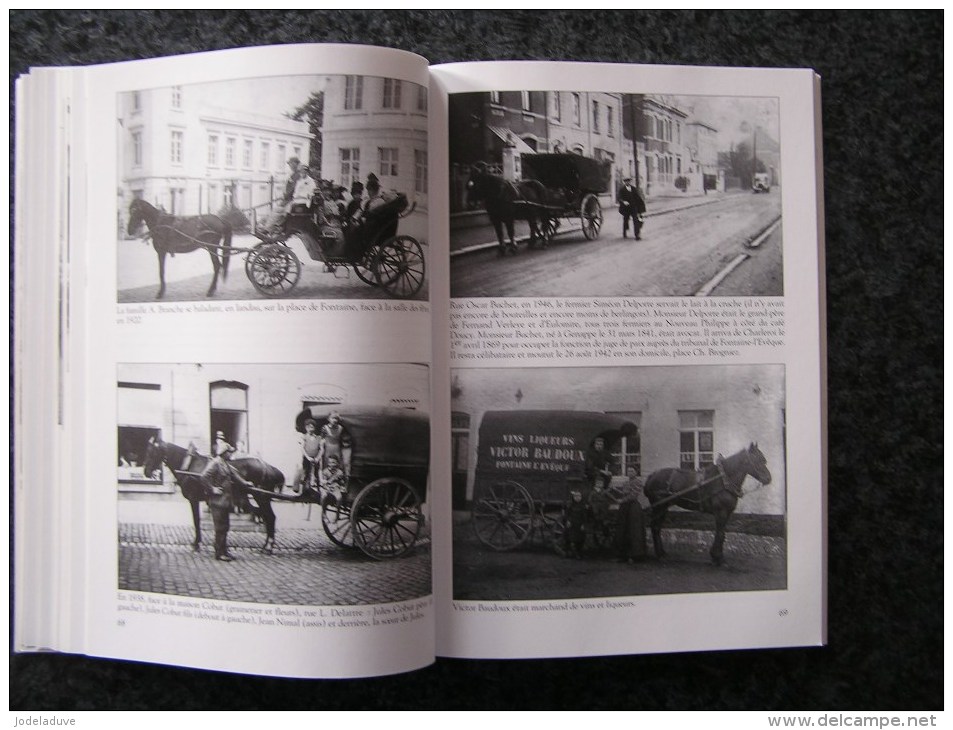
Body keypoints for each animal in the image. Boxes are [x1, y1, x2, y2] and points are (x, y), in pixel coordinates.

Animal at [141, 438, 282, 552]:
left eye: (152, 453)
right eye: (146, 452)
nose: (146, 472)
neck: (188, 465)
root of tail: (269, 468)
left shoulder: (193, 499)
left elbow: (196, 521)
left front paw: (196, 544)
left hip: (261, 497)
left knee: (270, 517)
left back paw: (268, 546)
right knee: (267, 516)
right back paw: (266, 545)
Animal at [640, 440, 772, 564]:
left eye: (764, 460)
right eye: (758, 460)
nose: (768, 479)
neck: (724, 480)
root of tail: (652, 476)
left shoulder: (727, 513)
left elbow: (722, 533)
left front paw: (716, 556)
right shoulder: (721, 512)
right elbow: (720, 533)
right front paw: (718, 557)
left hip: (664, 507)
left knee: (657, 527)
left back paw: (662, 553)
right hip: (659, 507)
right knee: (655, 527)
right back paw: (660, 554)